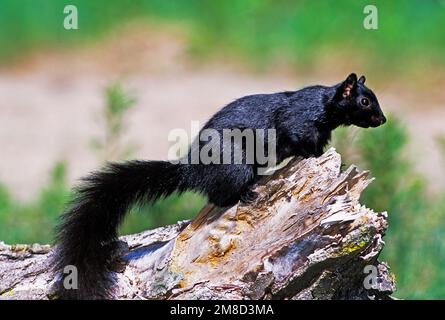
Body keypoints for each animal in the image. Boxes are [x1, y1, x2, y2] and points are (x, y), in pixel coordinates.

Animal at [53, 72, 386, 298]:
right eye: (364, 100)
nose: (382, 120)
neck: (324, 106)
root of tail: (191, 170)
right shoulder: (299, 121)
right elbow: (299, 138)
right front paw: (315, 156)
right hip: (236, 165)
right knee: (221, 194)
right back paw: (247, 193)